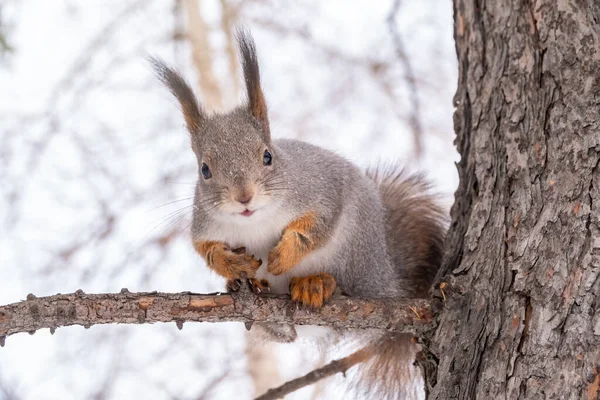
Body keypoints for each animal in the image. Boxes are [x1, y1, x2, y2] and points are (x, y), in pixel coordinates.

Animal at [152, 29, 448, 398]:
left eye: (267, 156)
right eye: (204, 170)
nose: (243, 197)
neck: (255, 223)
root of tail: (388, 280)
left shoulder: (323, 190)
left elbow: (316, 226)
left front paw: (282, 256)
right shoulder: (204, 224)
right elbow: (206, 250)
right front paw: (233, 265)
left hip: (356, 252)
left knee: (349, 290)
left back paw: (317, 284)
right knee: (286, 336)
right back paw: (253, 292)